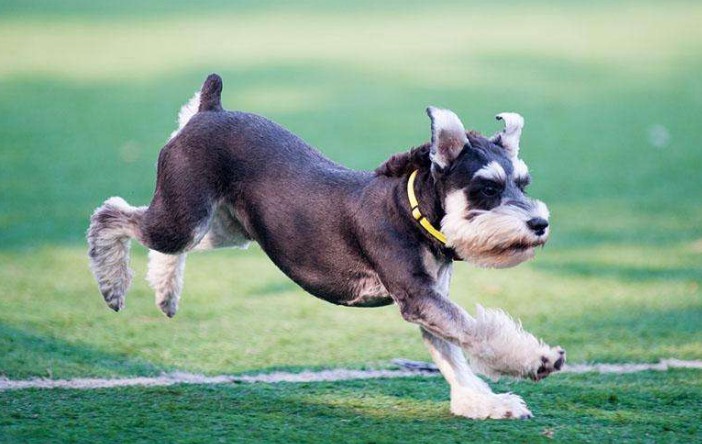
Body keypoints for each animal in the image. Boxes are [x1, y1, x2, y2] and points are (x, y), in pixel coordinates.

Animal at [88, 73, 568, 420]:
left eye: (523, 183)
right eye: (487, 188)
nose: (540, 224)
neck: (410, 211)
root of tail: (207, 112)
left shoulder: (430, 300)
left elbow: (455, 354)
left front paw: (483, 403)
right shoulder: (418, 296)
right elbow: (477, 332)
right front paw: (537, 359)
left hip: (220, 227)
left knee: (161, 240)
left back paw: (165, 292)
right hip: (184, 216)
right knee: (112, 215)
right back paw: (112, 286)